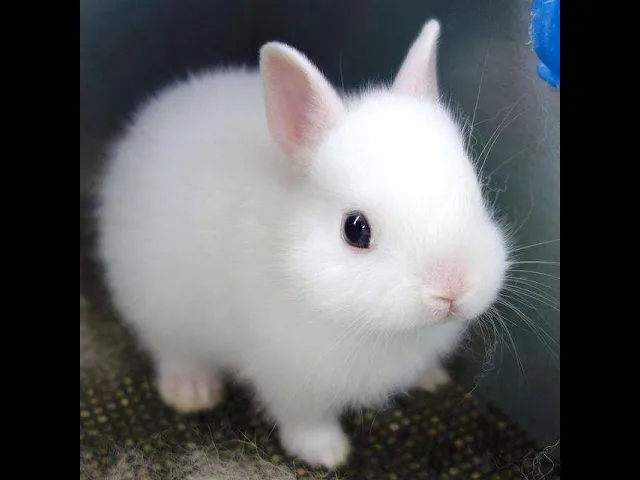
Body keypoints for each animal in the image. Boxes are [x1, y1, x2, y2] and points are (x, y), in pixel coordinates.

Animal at [96, 19, 510, 470]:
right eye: (355, 229)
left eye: (478, 193)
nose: (452, 291)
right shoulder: (291, 378)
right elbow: (305, 420)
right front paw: (328, 454)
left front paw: (430, 377)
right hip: (157, 306)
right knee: (170, 349)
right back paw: (191, 391)